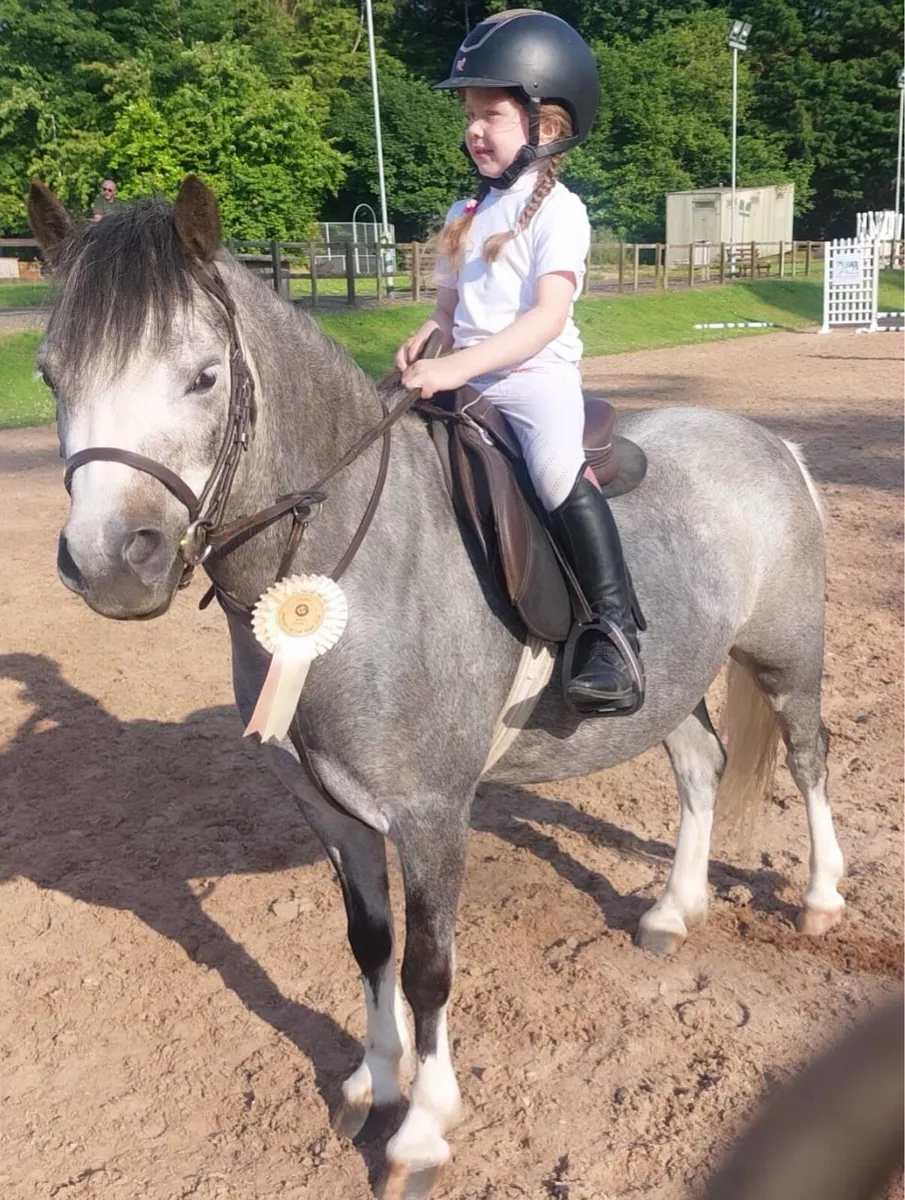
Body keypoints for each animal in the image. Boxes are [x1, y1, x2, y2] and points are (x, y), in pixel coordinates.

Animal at [27, 175, 845, 1197]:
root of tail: (768, 443)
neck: (353, 566)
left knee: (810, 760)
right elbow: (369, 945)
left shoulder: (429, 816)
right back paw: (671, 910)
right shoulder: (331, 812)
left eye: (203, 377)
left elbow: (427, 969)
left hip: (786, 659)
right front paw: (371, 1083)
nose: (109, 564)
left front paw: (421, 1127)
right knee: (701, 766)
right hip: (671, 688)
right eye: (50, 376)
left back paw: (821, 898)